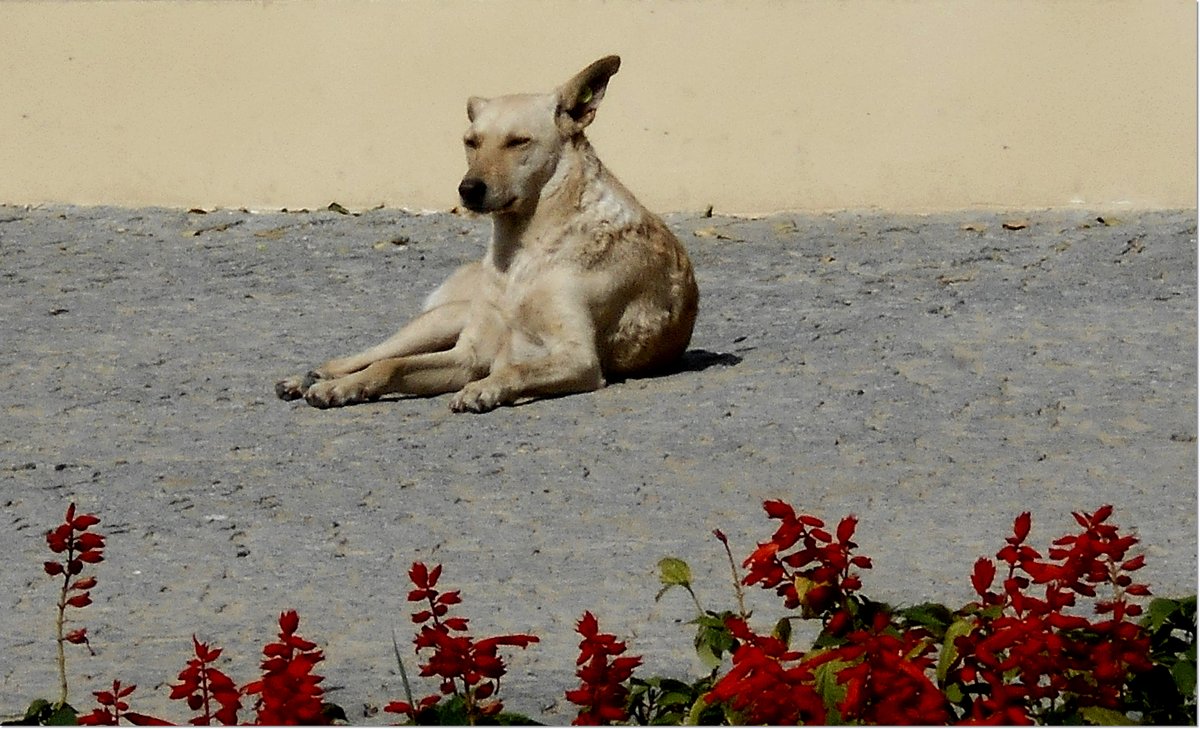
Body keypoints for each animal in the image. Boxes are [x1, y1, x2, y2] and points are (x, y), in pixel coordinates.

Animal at [274, 53, 700, 412]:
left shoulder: (577, 358)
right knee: (369, 355)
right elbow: (389, 367)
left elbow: (512, 369)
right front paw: (341, 388)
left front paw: (484, 389)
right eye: (471, 142)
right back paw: (312, 377)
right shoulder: (468, 354)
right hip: (437, 323)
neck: (519, 256)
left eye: (518, 141)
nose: (468, 189)